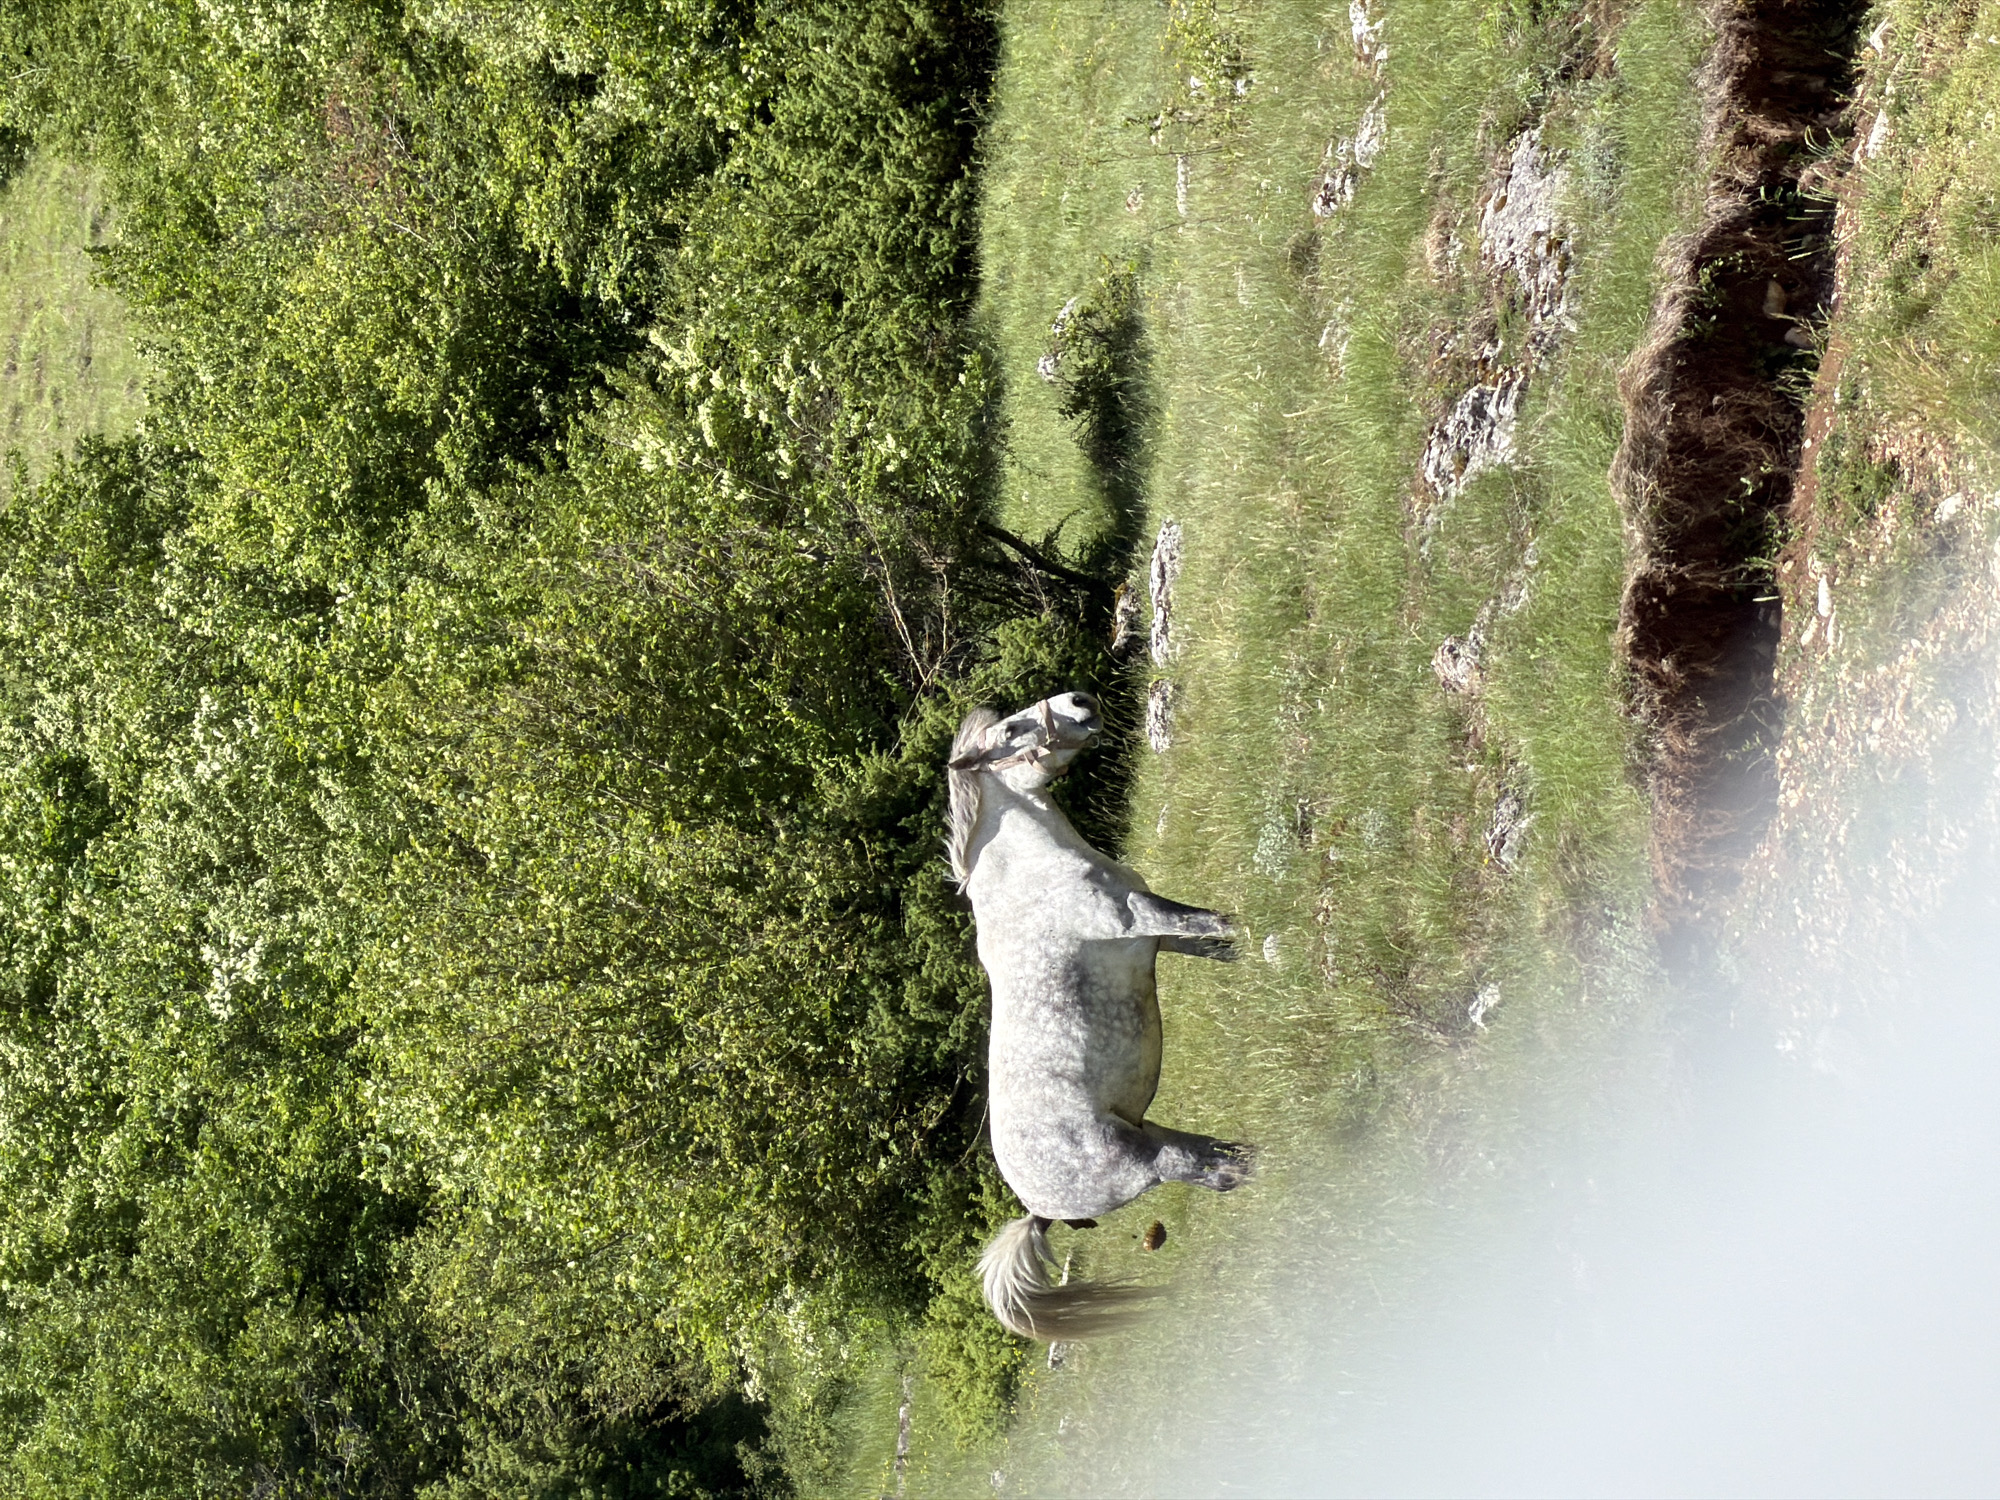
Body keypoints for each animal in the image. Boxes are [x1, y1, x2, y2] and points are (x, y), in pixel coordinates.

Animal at [946, 690, 1255, 1340]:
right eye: (1011, 731)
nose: (1080, 701)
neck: (1031, 877)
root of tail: (1038, 1206)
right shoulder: (1138, 918)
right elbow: (1212, 922)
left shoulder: (1153, 935)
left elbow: (1210, 938)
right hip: (1146, 1161)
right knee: (1201, 1169)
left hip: (1146, 1130)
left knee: (1206, 1157)